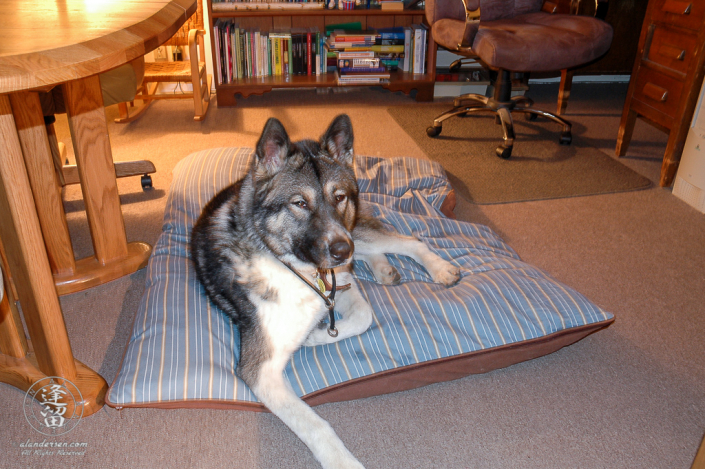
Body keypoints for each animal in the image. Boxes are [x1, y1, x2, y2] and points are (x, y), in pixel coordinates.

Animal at [190, 114, 460, 468]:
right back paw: (383, 268)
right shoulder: (261, 370)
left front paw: (315, 336)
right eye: (300, 203)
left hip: (356, 232)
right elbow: (315, 423)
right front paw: (343, 462)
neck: (295, 267)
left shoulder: (337, 283)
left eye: (339, 197)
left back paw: (436, 268)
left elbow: (363, 315)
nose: (342, 250)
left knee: (406, 242)